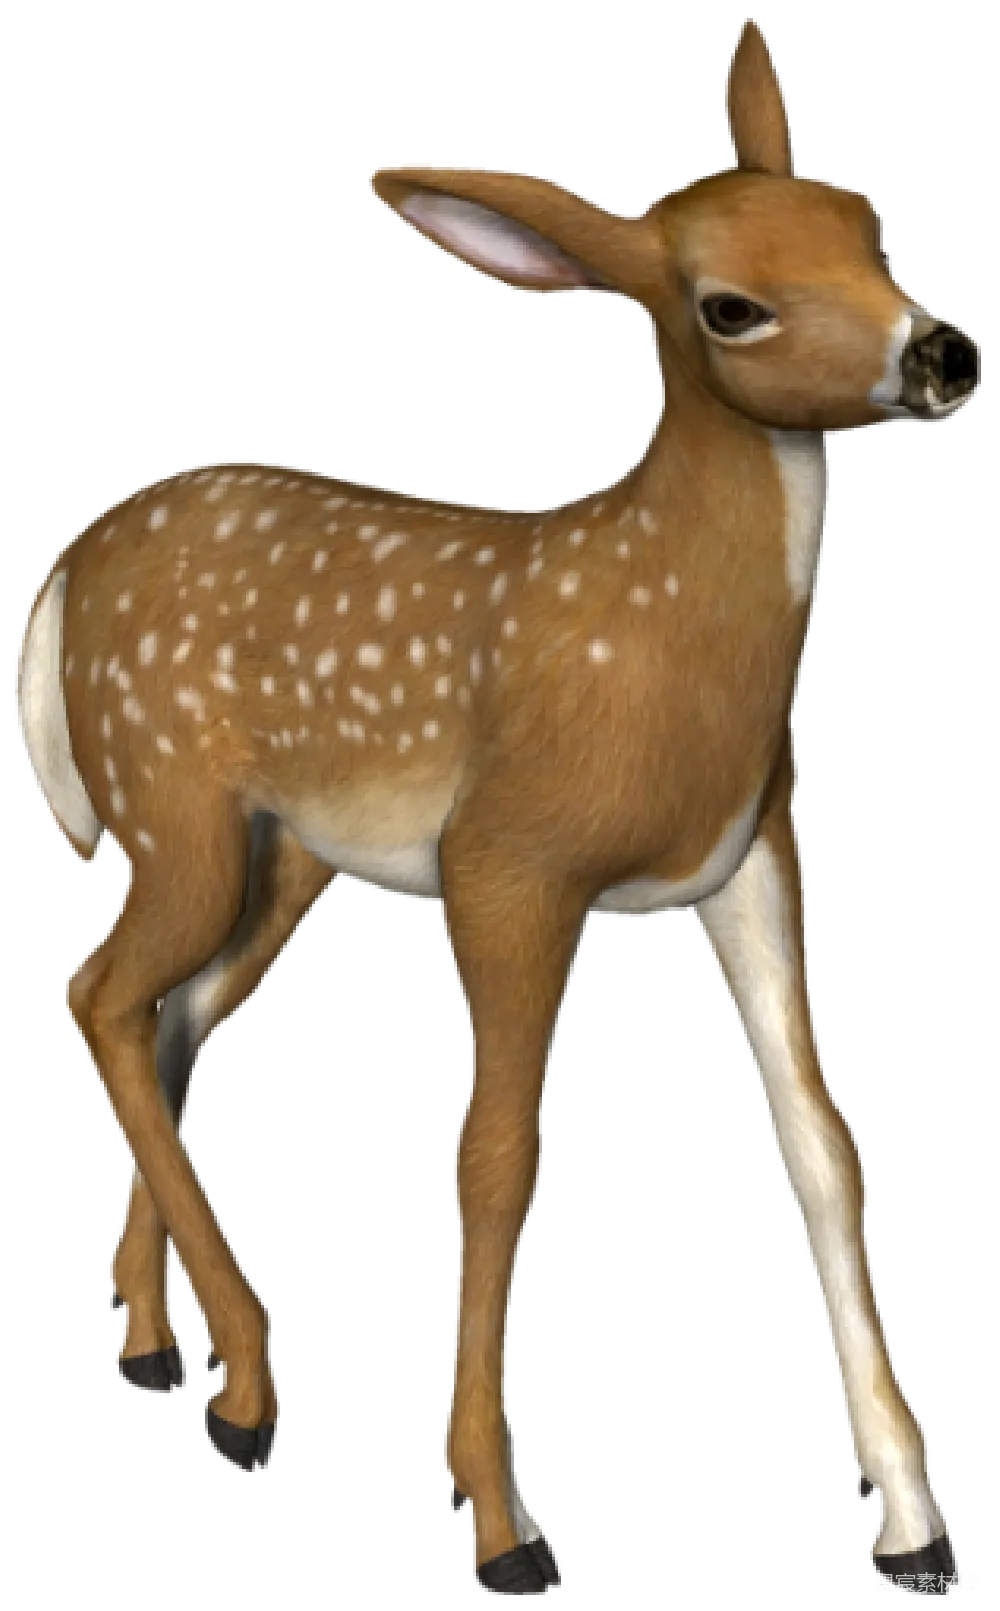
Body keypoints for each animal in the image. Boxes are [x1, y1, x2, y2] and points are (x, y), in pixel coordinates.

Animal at [11, 17, 980, 1601]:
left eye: (867, 222)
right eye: (729, 306)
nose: (944, 349)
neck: (666, 645)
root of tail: (61, 578)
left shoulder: (756, 854)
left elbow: (823, 1146)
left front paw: (914, 1521)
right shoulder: (507, 858)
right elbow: (497, 1160)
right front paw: (501, 1523)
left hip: (283, 856)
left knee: (166, 1013)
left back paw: (176, 1360)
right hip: (175, 798)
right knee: (100, 992)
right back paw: (249, 1379)